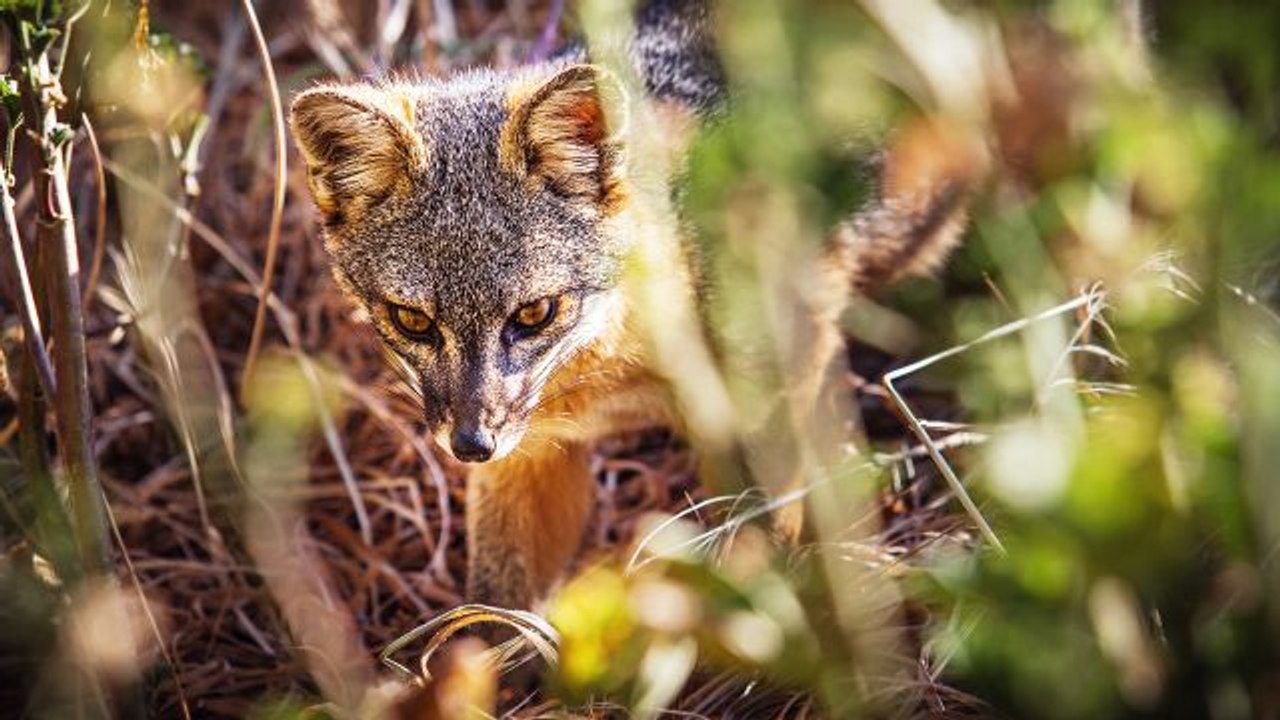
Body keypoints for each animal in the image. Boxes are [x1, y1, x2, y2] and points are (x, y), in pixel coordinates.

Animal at [289, 0, 978, 611]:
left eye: (534, 314)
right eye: (413, 320)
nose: (470, 445)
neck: (616, 376)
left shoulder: (773, 407)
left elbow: (757, 564)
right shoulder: (533, 454)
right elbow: (492, 614)